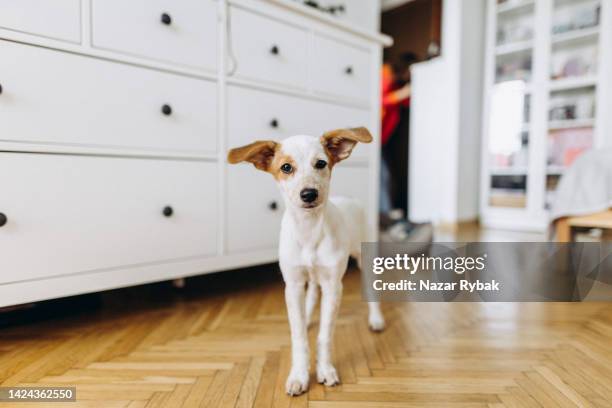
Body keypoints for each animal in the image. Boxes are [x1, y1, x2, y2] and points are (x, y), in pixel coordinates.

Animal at [227, 126, 384, 396]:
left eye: (321, 163)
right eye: (286, 167)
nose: (309, 193)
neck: (309, 230)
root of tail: (351, 199)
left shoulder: (334, 286)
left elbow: (325, 335)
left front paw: (325, 369)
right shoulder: (293, 285)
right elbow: (299, 335)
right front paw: (299, 374)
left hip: (366, 258)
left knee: (371, 290)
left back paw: (376, 320)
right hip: (308, 277)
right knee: (311, 293)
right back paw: (309, 314)